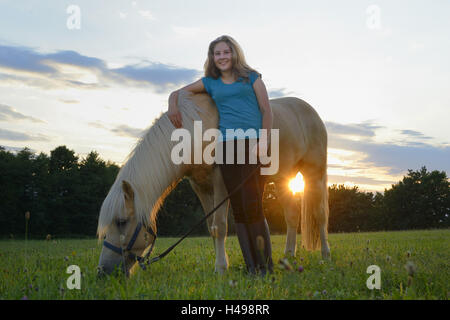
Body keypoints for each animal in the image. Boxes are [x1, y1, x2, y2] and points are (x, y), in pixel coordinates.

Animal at [96, 89, 328, 276]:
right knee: (292, 215)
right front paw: (222, 265)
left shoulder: (220, 182)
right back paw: (288, 257)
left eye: (121, 222)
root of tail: (311, 111)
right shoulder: (200, 186)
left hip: (315, 174)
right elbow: (211, 227)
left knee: (320, 215)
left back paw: (326, 256)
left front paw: (221, 268)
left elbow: (220, 226)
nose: (103, 272)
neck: (194, 129)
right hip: (282, 179)